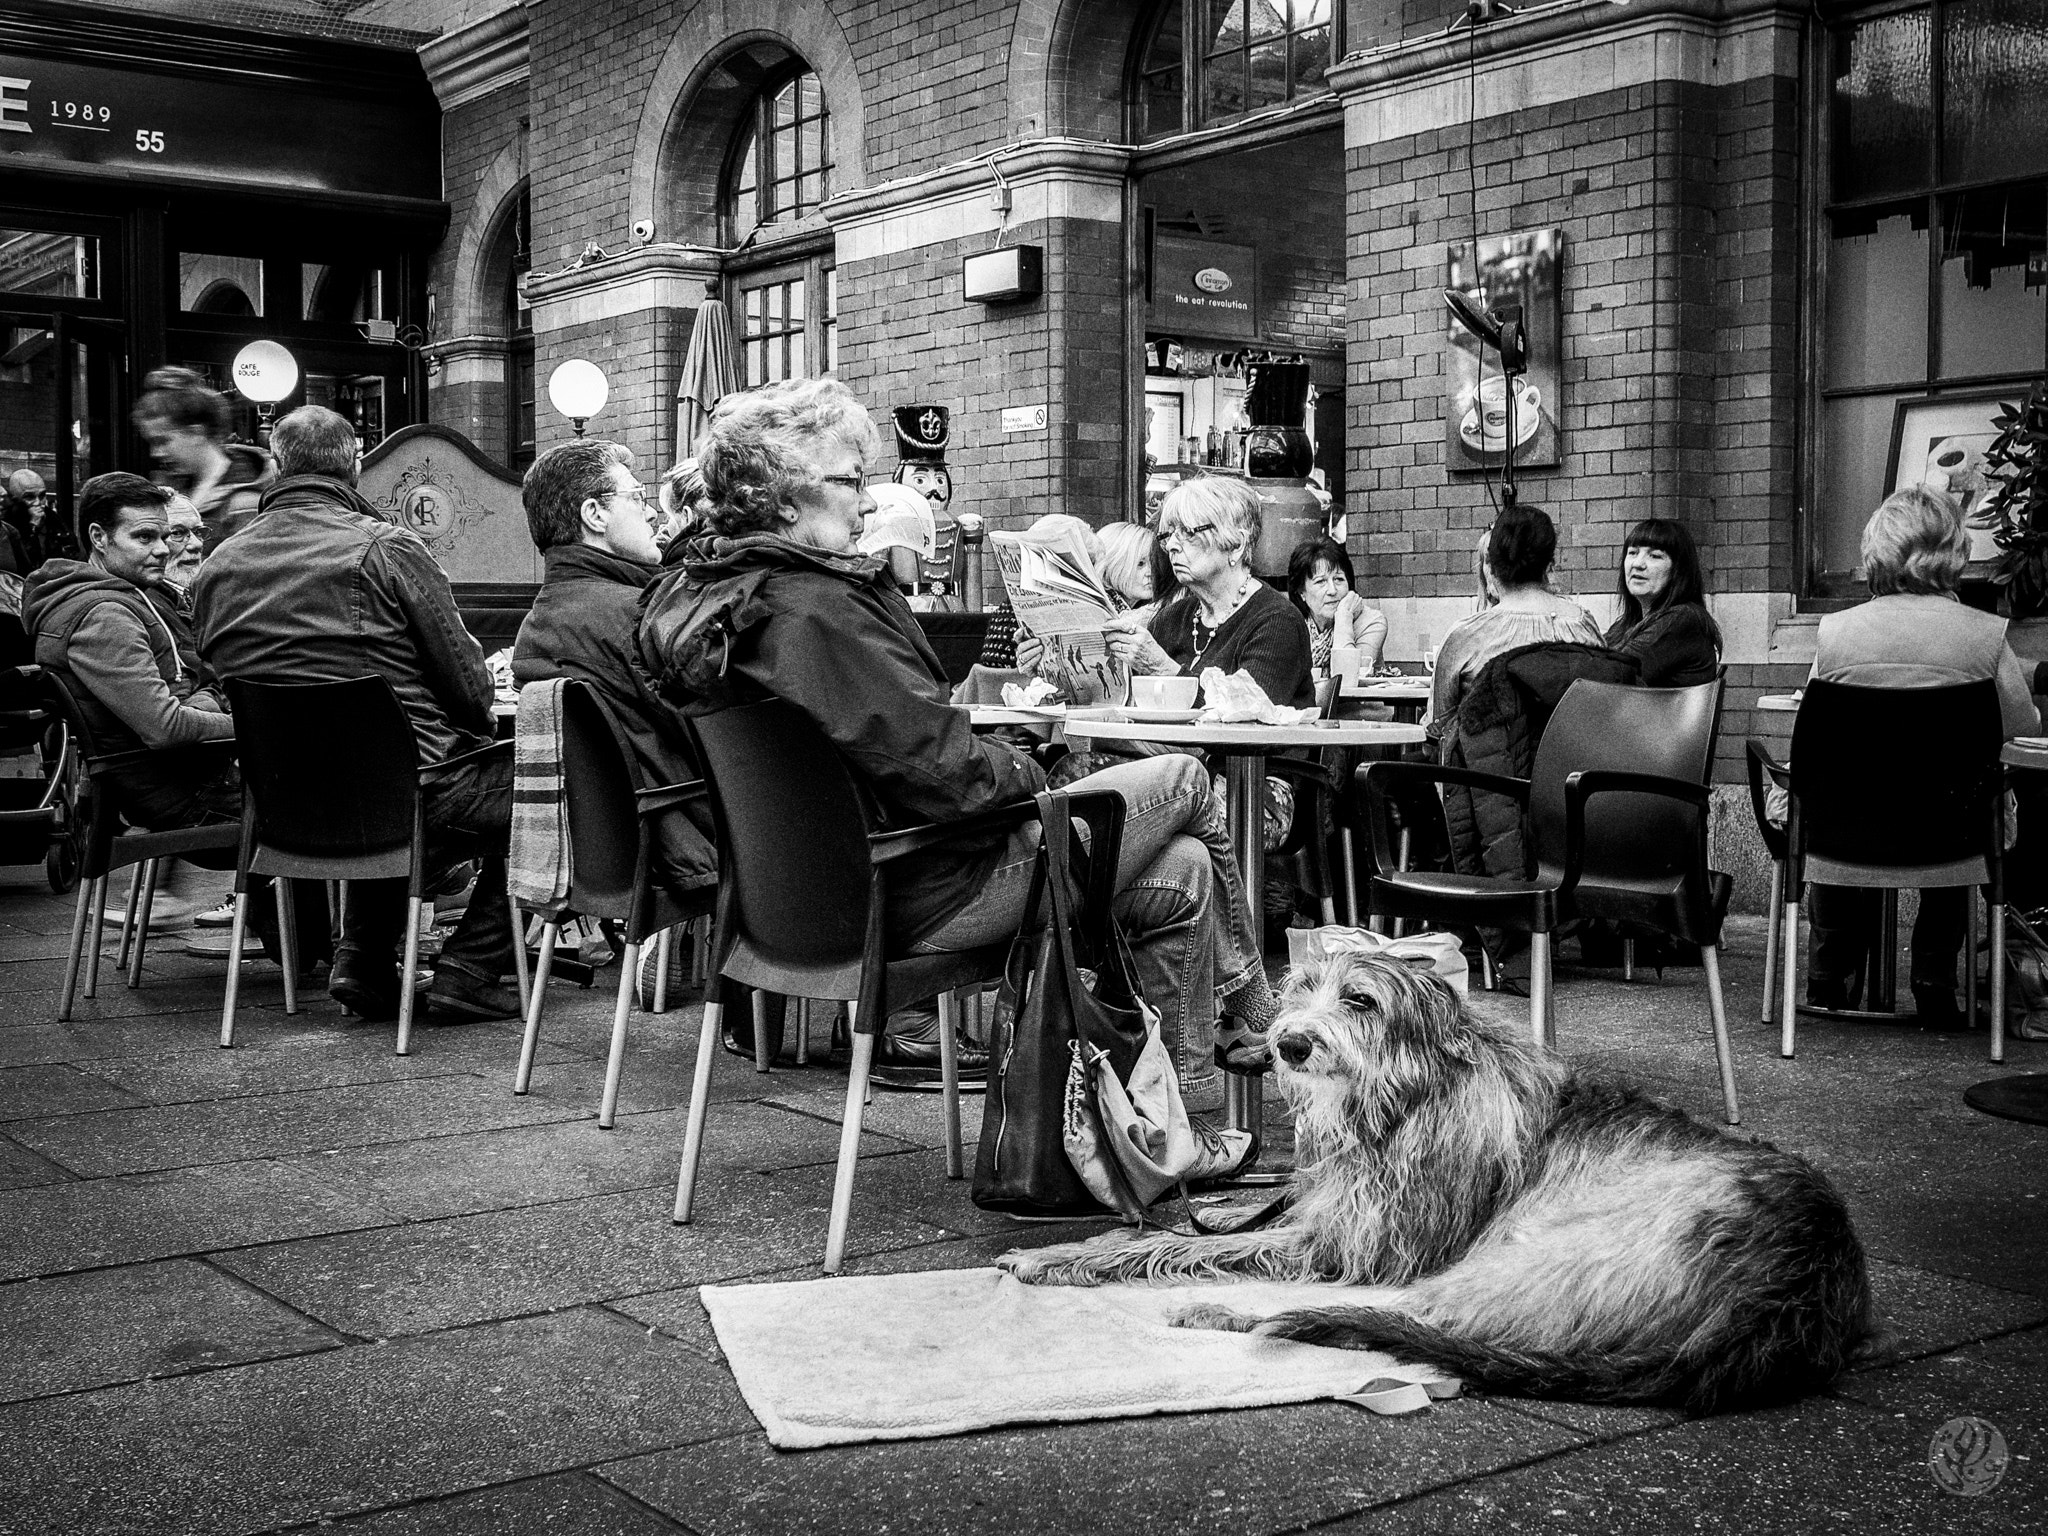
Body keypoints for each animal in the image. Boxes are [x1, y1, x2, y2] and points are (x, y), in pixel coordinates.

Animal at [991, 962, 1875, 1417]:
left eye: (1360, 998)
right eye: (1298, 987)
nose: (1289, 1045)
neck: (1407, 1094)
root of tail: (1794, 1293)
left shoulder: (1365, 1237)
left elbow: (1211, 1248)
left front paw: (1072, 1258)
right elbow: (1189, 1235)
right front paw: (1086, 1249)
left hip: (1551, 1249)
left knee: (1405, 1316)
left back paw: (1223, 1313)